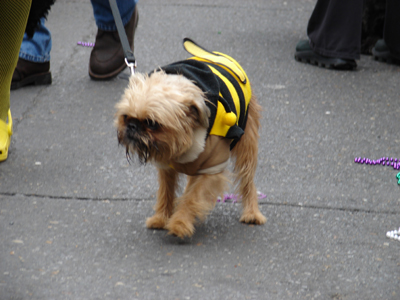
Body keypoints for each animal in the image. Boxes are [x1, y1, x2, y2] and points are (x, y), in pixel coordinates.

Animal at [115, 38, 266, 239]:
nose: (132, 126)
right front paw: (161, 217)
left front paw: (180, 222)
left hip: (247, 144)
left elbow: (194, 196)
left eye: (152, 123)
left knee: (247, 179)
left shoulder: (212, 169)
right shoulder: (166, 166)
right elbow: (166, 191)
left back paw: (252, 213)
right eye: (126, 117)